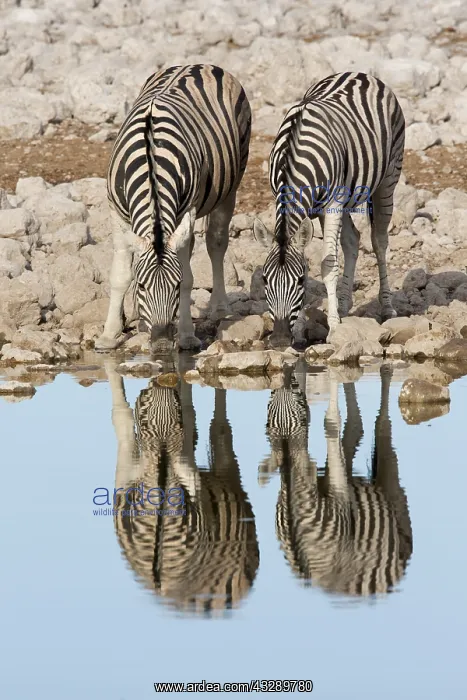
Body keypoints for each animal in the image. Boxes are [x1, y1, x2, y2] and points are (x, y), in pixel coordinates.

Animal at [96, 64, 251, 354]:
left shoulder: (186, 209)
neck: (151, 163)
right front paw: (109, 335)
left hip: (230, 186)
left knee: (216, 242)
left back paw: (219, 307)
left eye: (176, 286)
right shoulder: (115, 212)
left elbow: (189, 276)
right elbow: (120, 275)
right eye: (141, 286)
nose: (162, 345)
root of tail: (199, 64)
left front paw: (187, 336)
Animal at [253, 72, 405, 347]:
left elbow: (328, 264)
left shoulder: (332, 204)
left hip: (388, 178)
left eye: (300, 281)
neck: (294, 157)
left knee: (379, 241)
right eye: (264, 280)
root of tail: (360, 74)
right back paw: (344, 306)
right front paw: (301, 330)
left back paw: (386, 307)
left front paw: (333, 326)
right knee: (353, 240)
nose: (279, 340)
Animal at [259, 365, 413, 598]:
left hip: (393, 503)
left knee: (383, 427)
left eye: (302, 419)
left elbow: (330, 422)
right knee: (356, 426)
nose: (287, 375)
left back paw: (385, 370)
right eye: (267, 419)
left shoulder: (340, 500)